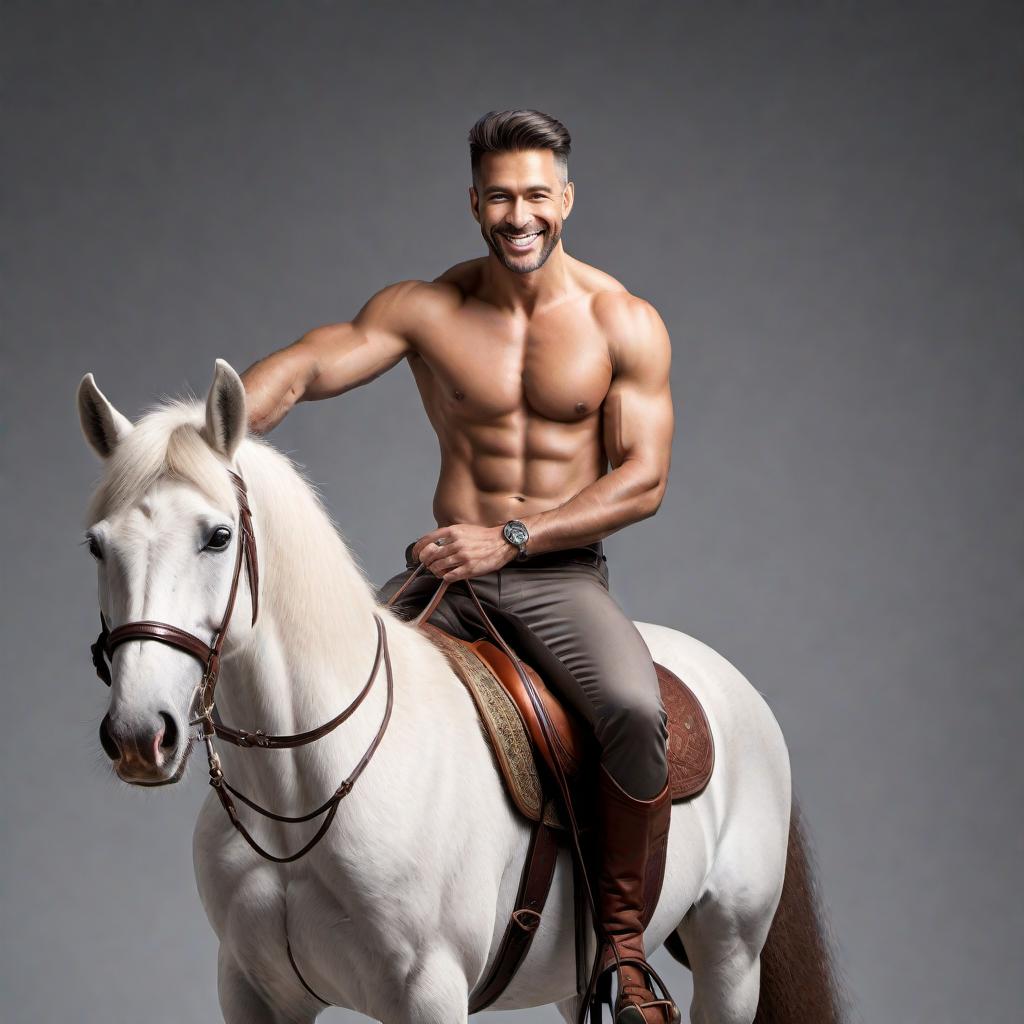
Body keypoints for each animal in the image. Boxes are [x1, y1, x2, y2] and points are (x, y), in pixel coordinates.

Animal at [72, 362, 839, 1024]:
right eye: (96, 546)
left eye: (218, 535)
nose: (140, 736)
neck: (297, 794)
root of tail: (732, 685)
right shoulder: (251, 995)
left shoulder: (429, 995)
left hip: (732, 955)